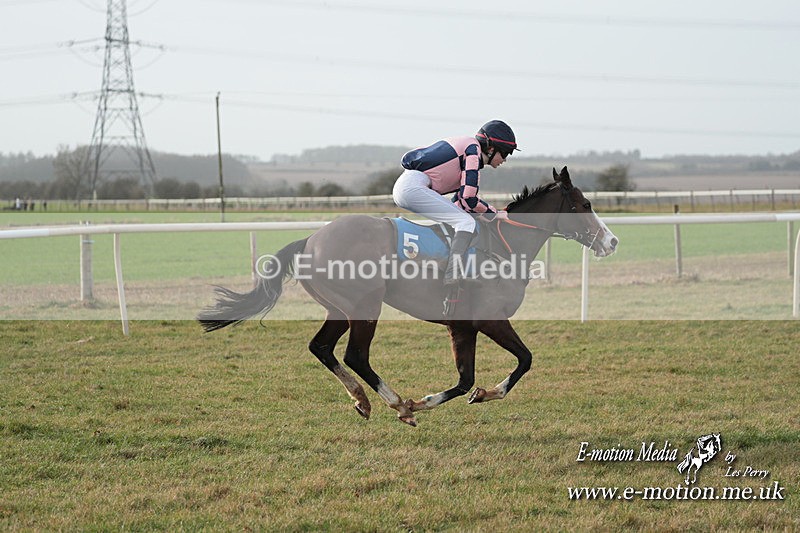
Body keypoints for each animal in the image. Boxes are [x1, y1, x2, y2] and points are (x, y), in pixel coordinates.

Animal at [198, 166, 618, 426]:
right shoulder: (490, 319)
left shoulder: (462, 326)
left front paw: (442, 399)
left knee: (321, 347)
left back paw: (364, 399)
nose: (612, 241)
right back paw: (397, 403)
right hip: (365, 305)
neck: (504, 245)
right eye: (585, 205)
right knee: (355, 355)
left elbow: (465, 380)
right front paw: (481, 394)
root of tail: (311, 239)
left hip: (339, 308)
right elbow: (525, 360)